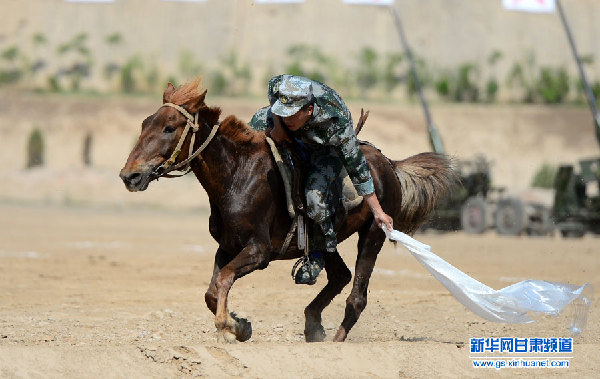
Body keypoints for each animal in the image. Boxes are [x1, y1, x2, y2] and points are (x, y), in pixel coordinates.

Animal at [120, 79, 454, 344]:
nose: (129, 176)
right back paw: (313, 324)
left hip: (372, 234)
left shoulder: (259, 251)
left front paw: (229, 325)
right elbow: (212, 291)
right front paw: (241, 326)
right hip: (327, 240)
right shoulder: (226, 247)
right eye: (144, 124)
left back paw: (335, 339)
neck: (237, 175)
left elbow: (224, 279)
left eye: (169, 127)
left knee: (357, 296)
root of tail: (389, 164)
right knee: (340, 276)